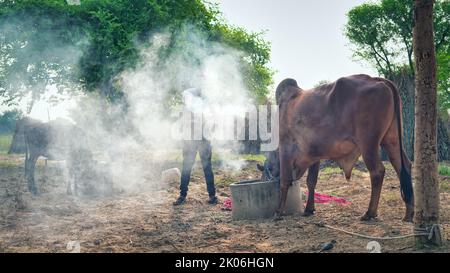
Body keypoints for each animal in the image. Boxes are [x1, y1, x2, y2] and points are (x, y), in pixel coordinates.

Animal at [258, 74, 414, 221]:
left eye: (267, 169)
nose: (264, 179)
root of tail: (377, 79)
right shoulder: (314, 155)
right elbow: (311, 181)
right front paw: (309, 209)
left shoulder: (286, 148)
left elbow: (284, 181)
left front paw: (278, 212)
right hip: (392, 140)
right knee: (403, 167)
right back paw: (408, 213)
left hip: (368, 144)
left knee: (377, 172)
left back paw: (370, 213)